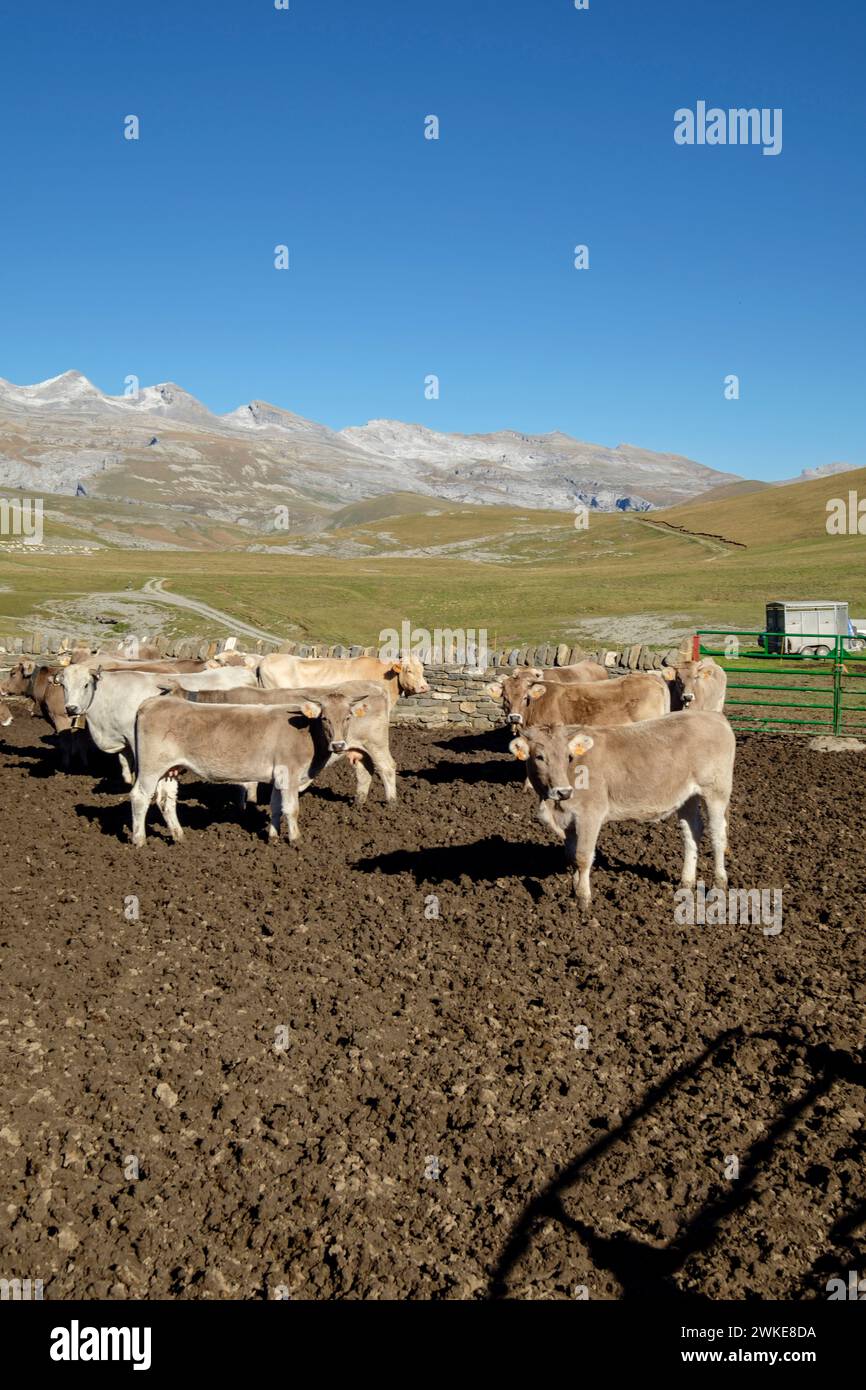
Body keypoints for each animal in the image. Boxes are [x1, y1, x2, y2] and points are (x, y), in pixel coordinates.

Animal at [57, 663, 259, 784]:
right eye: (64, 686)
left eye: (85, 684)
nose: (71, 708)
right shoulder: (121, 738)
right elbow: (124, 763)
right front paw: (127, 782)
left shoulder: (134, 737)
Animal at [130, 686, 381, 845]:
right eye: (325, 718)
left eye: (348, 717)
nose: (339, 745)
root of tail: (153, 702)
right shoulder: (289, 773)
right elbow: (292, 808)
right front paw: (296, 840)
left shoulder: (278, 777)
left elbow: (276, 807)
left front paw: (273, 837)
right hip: (150, 769)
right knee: (139, 797)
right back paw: (139, 840)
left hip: (169, 771)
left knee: (166, 801)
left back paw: (179, 836)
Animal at [164, 680, 397, 806]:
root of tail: (374, 685)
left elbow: (246, 785)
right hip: (359, 749)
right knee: (364, 772)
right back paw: (358, 802)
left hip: (376, 744)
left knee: (387, 768)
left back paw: (391, 802)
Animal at [510, 711, 735, 909]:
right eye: (539, 757)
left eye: (569, 756)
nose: (563, 792)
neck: (553, 805)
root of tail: (713, 715)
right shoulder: (569, 821)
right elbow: (571, 856)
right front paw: (574, 888)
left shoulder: (590, 815)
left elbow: (583, 857)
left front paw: (583, 898)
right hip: (687, 796)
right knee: (692, 833)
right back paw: (686, 881)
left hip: (716, 791)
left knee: (717, 835)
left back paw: (719, 883)